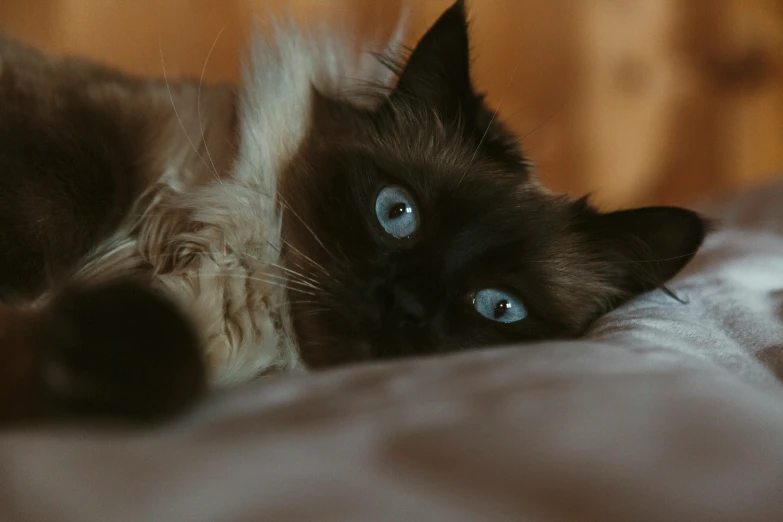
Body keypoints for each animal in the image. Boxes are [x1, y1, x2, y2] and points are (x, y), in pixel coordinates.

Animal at [0, 1, 712, 422]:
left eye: (499, 306)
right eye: (396, 212)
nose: (404, 305)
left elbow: (155, 371)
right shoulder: (90, 145)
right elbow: (53, 218)